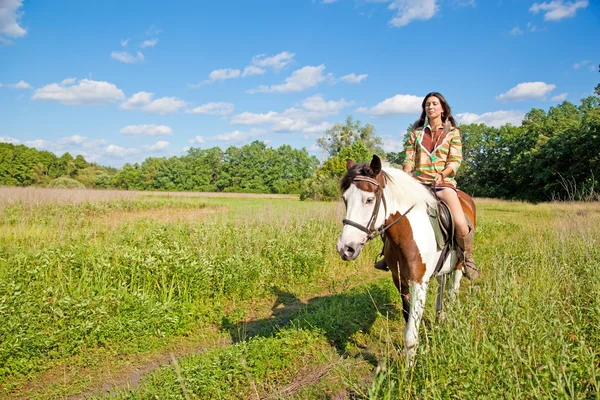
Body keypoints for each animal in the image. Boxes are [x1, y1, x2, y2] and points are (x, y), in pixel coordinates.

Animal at [336, 154, 476, 366]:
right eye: (345, 199)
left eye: (369, 199)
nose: (345, 249)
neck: (406, 233)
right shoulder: (400, 280)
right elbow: (407, 316)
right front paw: (407, 354)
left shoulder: (418, 282)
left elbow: (411, 332)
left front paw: (409, 367)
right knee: (442, 285)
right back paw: (439, 316)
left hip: (459, 265)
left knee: (453, 291)